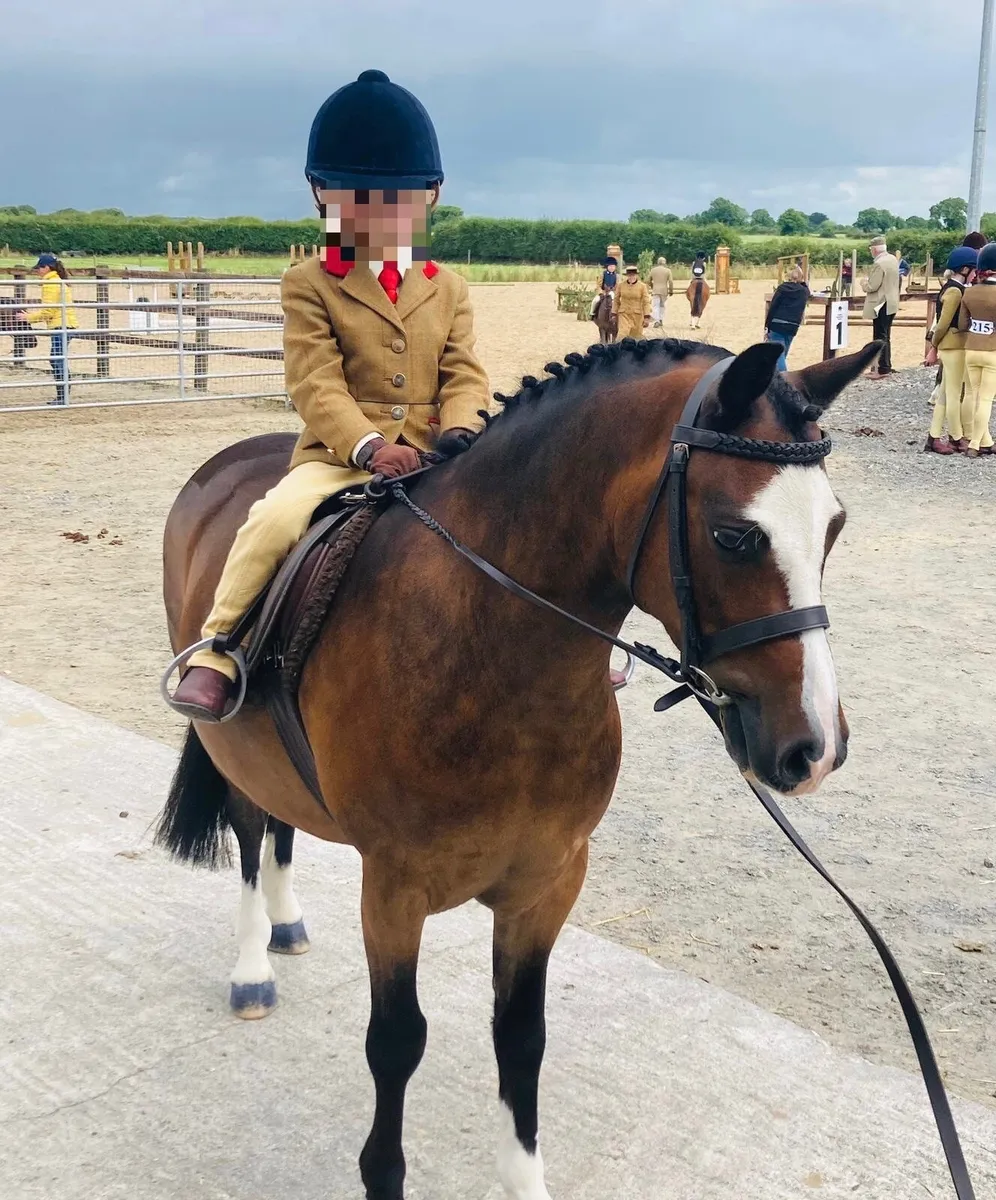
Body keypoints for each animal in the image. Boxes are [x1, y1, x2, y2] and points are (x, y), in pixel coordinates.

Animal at [157, 335, 880, 1200]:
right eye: (735, 537)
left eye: (835, 527)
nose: (816, 748)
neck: (491, 645)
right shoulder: (393, 888)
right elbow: (396, 1041)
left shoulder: (548, 880)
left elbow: (521, 1036)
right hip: (233, 750)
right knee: (248, 829)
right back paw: (251, 967)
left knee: (284, 827)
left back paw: (287, 921)